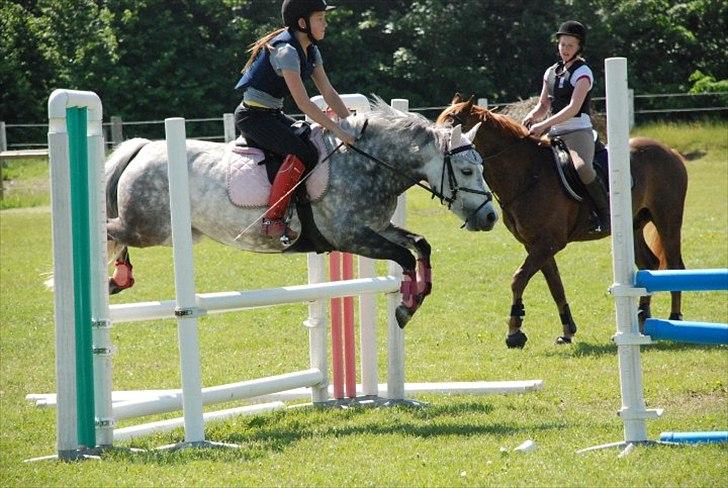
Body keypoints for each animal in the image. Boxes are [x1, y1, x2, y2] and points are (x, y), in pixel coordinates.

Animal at [105, 98, 498, 328]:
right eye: (466, 171)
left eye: (482, 167)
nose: (490, 218)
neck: (367, 163)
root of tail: (144, 148)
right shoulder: (350, 236)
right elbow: (403, 256)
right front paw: (405, 305)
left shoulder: (377, 227)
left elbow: (420, 244)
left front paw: (420, 292)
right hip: (150, 229)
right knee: (109, 229)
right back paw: (112, 278)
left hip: (160, 230)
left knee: (115, 233)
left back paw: (117, 278)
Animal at [438, 95, 688, 346]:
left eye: (451, 130)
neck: (527, 174)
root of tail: (670, 151)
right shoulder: (535, 244)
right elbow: (555, 285)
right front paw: (567, 330)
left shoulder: (550, 242)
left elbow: (519, 278)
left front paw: (514, 331)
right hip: (632, 228)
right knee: (649, 263)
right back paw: (643, 316)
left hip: (667, 221)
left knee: (675, 265)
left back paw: (674, 317)